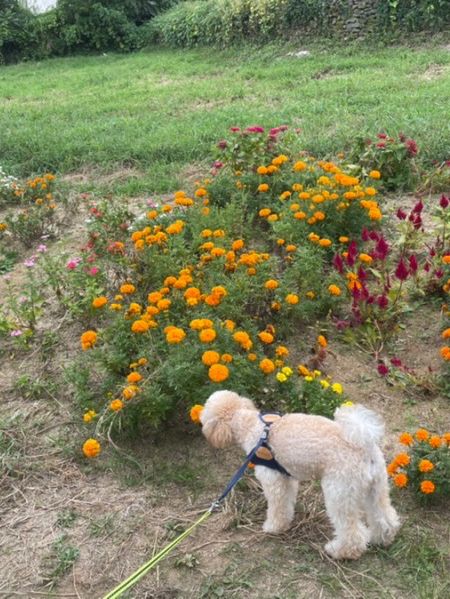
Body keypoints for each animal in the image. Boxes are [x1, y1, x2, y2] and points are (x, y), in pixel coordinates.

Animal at [202, 392, 400, 560]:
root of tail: (363, 445)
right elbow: (287, 502)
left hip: (340, 492)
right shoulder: (286, 477)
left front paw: (273, 527)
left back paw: (338, 551)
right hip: (376, 487)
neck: (251, 425)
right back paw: (382, 539)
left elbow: (277, 506)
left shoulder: (272, 478)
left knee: (353, 533)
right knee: (385, 517)